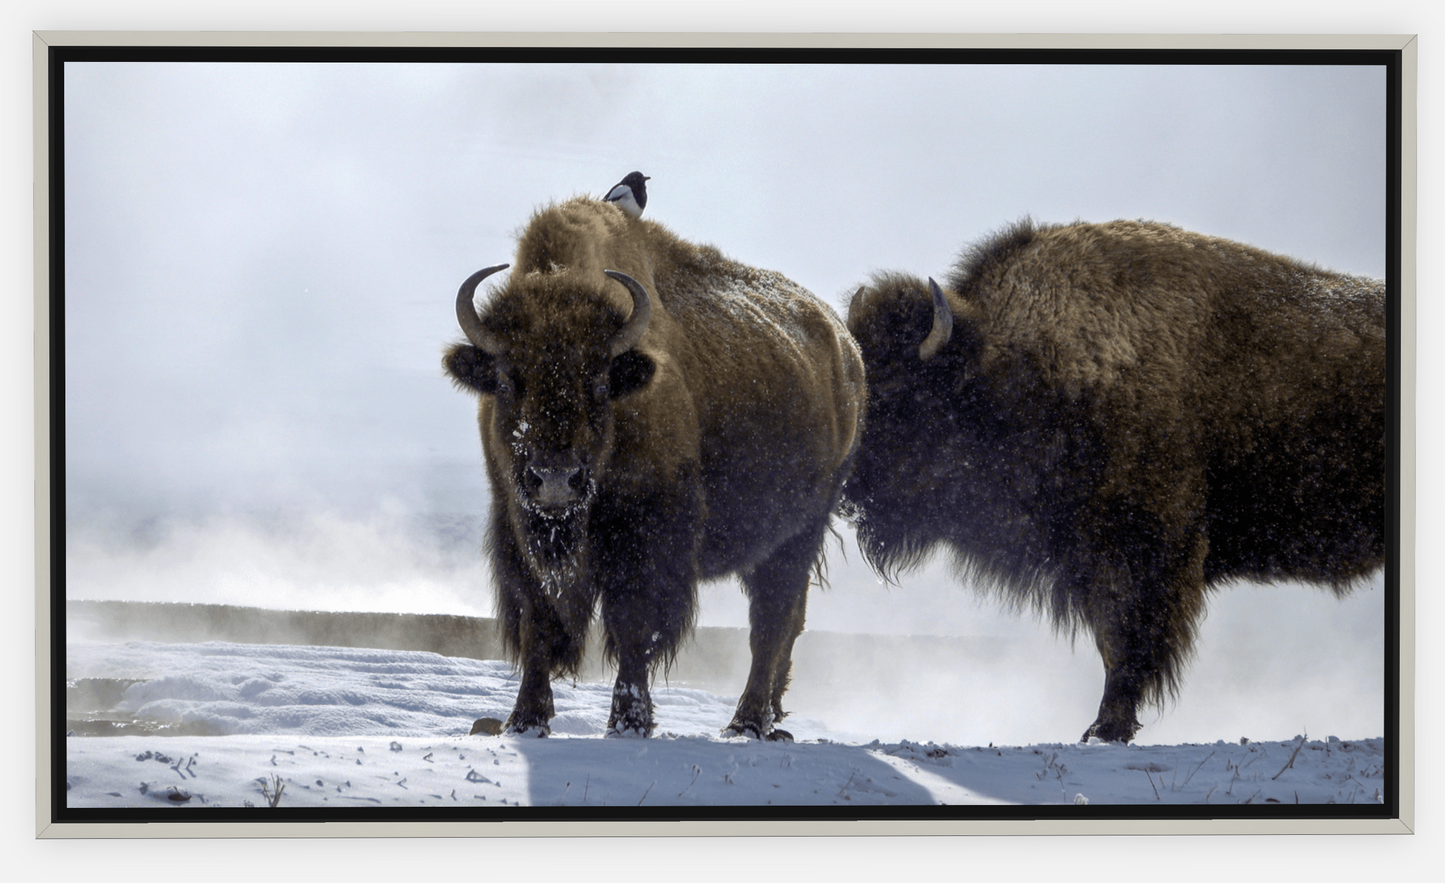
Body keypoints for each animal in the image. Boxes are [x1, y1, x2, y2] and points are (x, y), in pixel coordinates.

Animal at [444, 197, 864, 739]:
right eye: (506, 379)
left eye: (600, 382)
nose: (555, 480)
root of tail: (847, 349)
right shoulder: (516, 526)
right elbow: (539, 620)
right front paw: (525, 719)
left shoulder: (647, 536)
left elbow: (634, 627)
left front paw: (629, 721)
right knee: (787, 624)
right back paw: (769, 719)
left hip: (801, 532)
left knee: (770, 623)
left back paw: (745, 723)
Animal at [841, 219, 1386, 743]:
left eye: (901, 393)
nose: (844, 488)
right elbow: (1113, 642)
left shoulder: (1145, 552)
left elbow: (1128, 643)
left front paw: (1106, 728)